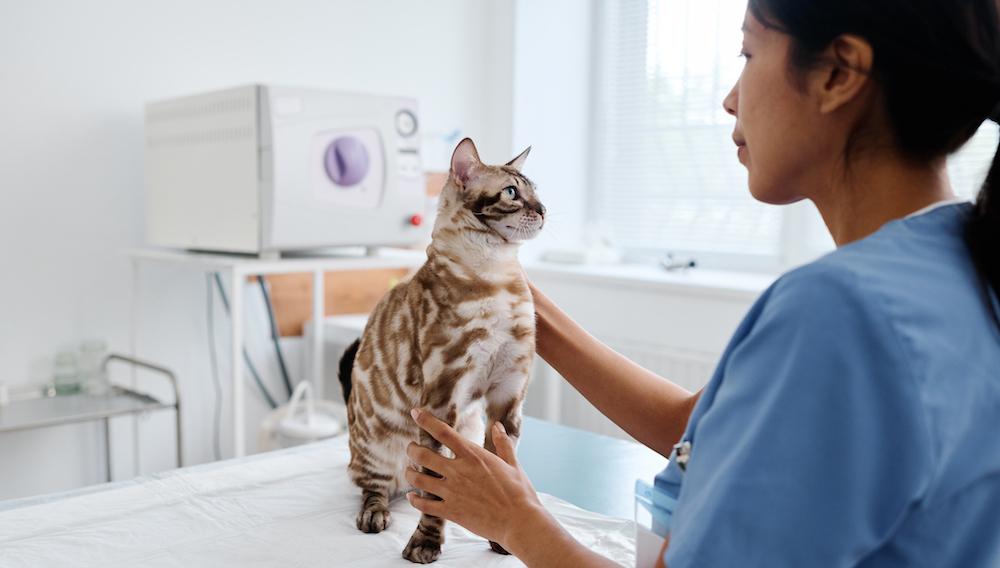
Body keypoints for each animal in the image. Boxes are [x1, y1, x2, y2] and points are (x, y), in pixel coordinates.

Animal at [338, 138, 548, 564]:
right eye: (512, 193)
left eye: (537, 191)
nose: (544, 210)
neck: (498, 277)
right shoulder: (441, 400)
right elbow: (436, 494)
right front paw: (425, 544)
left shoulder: (507, 396)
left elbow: (503, 470)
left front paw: (502, 538)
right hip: (375, 446)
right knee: (375, 486)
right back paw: (374, 514)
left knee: (417, 487)